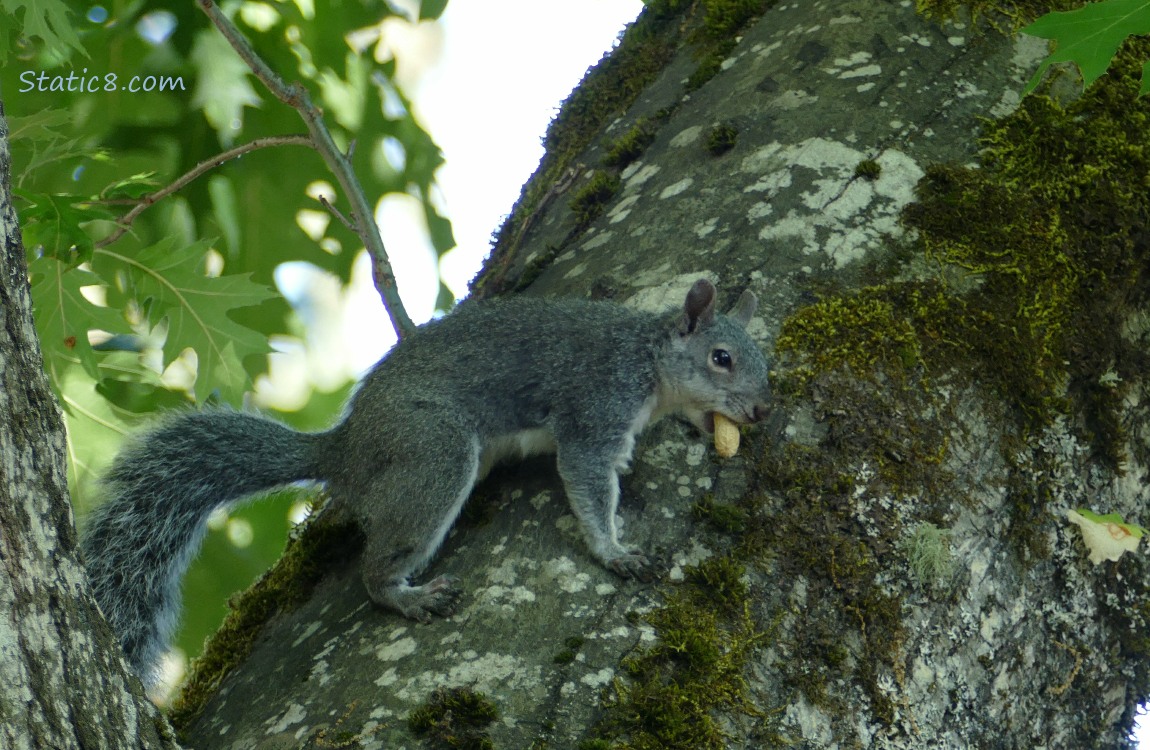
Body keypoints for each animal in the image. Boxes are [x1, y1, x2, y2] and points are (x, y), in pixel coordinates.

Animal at [81, 277, 772, 685]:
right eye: (722, 358)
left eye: (763, 359)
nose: (763, 410)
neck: (648, 360)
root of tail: (347, 449)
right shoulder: (595, 410)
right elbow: (589, 483)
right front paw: (615, 551)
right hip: (432, 455)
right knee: (376, 568)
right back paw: (406, 595)